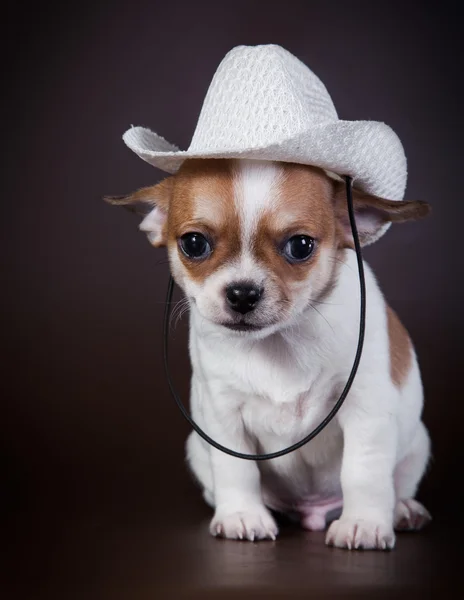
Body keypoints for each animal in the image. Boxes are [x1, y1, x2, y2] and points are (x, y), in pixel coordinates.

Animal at [108, 158, 432, 548]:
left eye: (301, 246)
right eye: (194, 244)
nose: (242, 293)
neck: (278, 343)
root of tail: (312, 512)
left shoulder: (365, 412)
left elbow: (363, 470)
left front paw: (364, 523)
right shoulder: (223, 415)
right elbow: (236, 469)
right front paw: (242, 515)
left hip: (416, 446)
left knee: (396, 484)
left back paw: (402, 509)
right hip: (196, 451)